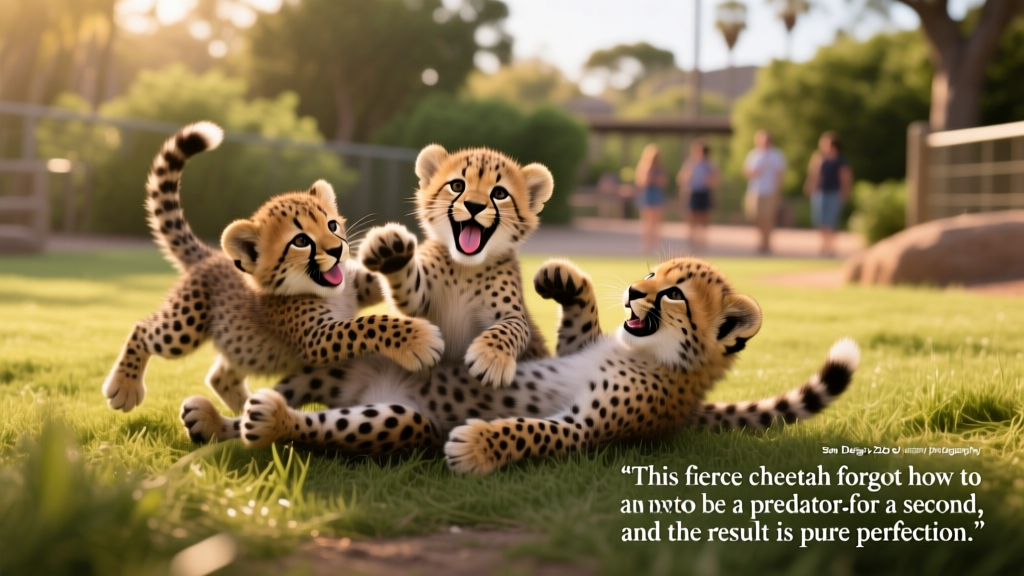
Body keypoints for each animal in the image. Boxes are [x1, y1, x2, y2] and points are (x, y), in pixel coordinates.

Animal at [101, 121, 444, 416]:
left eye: (332, 225)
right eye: (301, 241)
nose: (337, 250)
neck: (326, 291)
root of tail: (211, 257)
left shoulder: (354, 285)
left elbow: (374, 286)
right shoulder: (316, 337)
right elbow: (366, 325)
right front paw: (416, 339)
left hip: (241, 344)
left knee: (219, 376)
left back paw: (251, 410)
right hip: (184, 327)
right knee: (143, 330)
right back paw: (124, 388)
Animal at [204, 257, 858, 472]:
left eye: (674, 293)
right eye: (650, 272)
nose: (633, 290)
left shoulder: (586, 429)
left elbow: (531, 431)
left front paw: (479, 446)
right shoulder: (573, 348)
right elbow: (575, 324)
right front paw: (563, 279)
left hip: (403, 420)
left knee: (313, 425)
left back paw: (270, 420)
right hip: (345, 369)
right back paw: (210, 420)